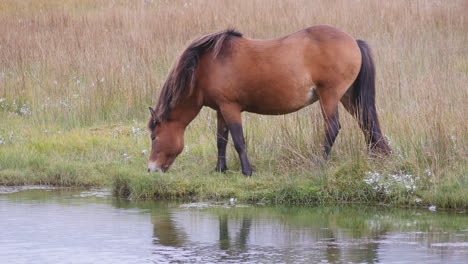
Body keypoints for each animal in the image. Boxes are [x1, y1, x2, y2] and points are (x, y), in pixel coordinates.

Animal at [147, 25, 392, 176]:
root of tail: (353, 41)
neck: (205, 66)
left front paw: (247, 171)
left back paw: (319, 162)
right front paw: (220, 169)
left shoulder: (230, 107)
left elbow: (238, 140)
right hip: (349, 97)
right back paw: (378, 155)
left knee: (332, 127)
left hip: (330, 96)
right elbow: (221, 140)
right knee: (366, 123)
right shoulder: (220, 109)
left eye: (153, 137)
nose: (151, 169)